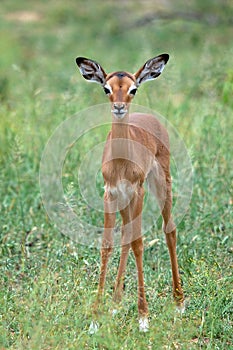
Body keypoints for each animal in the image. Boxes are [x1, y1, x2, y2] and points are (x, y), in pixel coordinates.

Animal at [75, 54, 185, 330]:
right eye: (107, 88)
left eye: (133, 89)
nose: (119, 107)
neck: (121, 162)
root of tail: (151, 119)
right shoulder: (111, 194)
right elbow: (107, 244)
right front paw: (95, 319)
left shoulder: (138, 192)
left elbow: (138, 243)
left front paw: (143, 317)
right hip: (125, 201)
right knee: (125, 235)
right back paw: (115, 304)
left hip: (161, 184)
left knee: (169, 230)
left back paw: (179, 303)